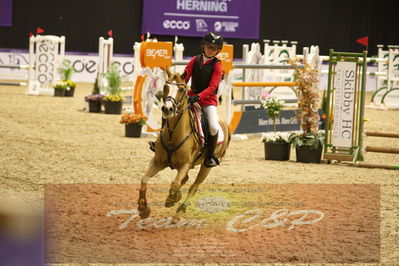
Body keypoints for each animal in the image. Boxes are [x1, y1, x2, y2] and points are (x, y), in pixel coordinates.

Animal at [138, 66, 231, 222]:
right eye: (165, 86)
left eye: (181, 90)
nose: (167, 109)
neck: (173, 134)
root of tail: (224, 124)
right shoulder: (157, 162)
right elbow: (144, 179)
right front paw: (143, 208)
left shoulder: (185, 164)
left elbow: (175, 183)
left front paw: (171, 199)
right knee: (185, 180)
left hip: (206, 167)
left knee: (193, 187)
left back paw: (178, 213)